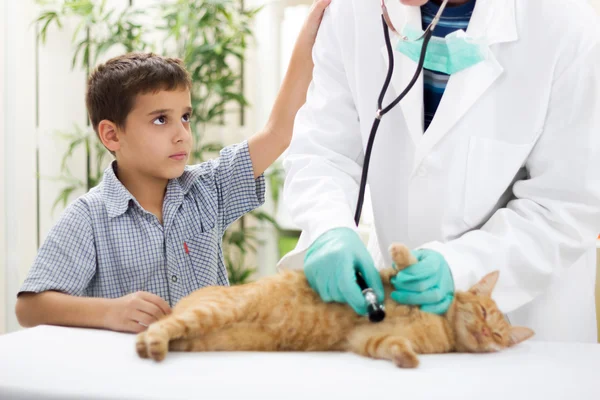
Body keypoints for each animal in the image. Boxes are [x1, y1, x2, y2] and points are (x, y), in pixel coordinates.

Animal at [137, 242, 536, 368]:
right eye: (483, 314)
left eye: (498, 336)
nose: (484, 331)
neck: (442, 327)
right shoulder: (384, 279)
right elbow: (405, 265)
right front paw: (405, 253)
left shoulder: (365, 340)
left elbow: (392, 344)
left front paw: (407, 358)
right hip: (215, 311)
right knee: (160, 326)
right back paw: (151, 344)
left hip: (203, 331)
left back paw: (153, 346)